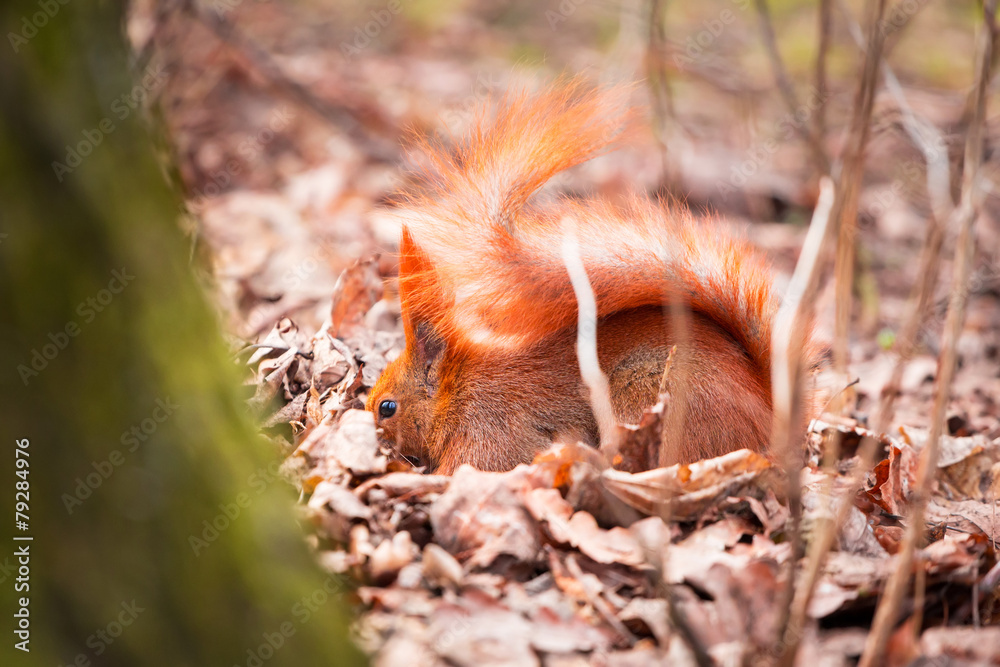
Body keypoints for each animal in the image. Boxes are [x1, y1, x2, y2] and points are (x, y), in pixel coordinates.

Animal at [364, 79, 816, 474]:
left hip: (654, 397)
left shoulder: (491, 429)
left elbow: (473, 468)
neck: (459, 393)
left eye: (387, 407)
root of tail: (767, 419)